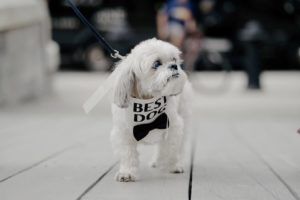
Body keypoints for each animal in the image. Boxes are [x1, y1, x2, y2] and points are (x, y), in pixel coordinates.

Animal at [110, 37, 192, 181]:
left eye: (174, 59)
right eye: (157, 64)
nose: (174, 66)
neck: (147, 99)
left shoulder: (173, 126)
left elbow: (171, 149)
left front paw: (173, 166)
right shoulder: (123, 132)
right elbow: (128, 154)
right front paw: (127, 172)